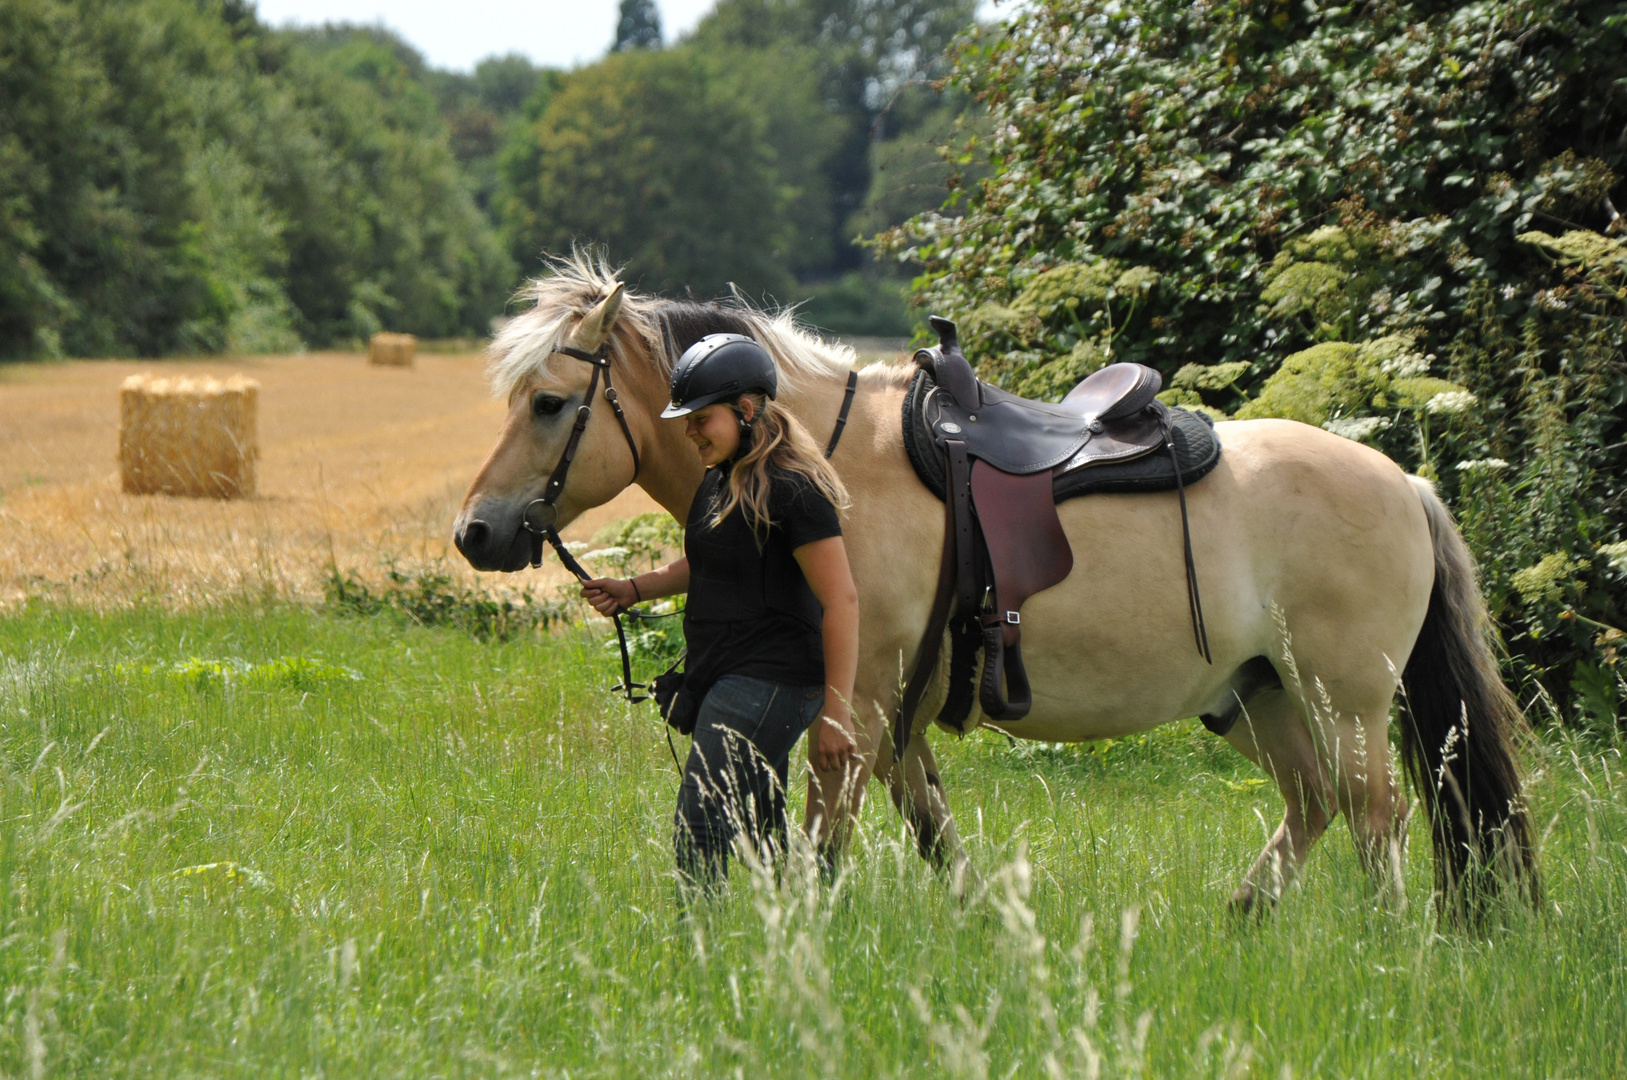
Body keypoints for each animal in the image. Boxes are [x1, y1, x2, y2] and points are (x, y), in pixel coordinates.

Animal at [455, 256, 1535, 917]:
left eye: (549, 404)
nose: (474, 533)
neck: (827, 463)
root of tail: (1404, 483)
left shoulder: (856, 702)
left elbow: (828, 824)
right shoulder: (897, 711)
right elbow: (928, 824)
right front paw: (981, 918)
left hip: (1342, 696)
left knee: (1375, 813)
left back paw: (1384, 941)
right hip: (1256, 692)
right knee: (1315, 803)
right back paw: (1244, 915)